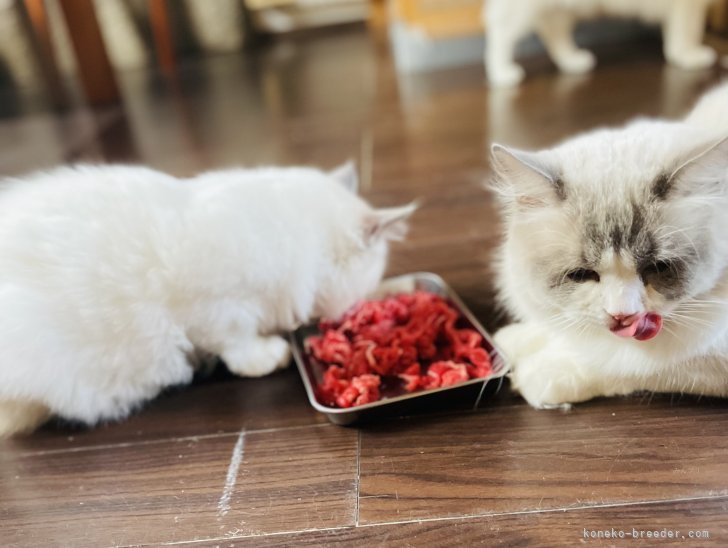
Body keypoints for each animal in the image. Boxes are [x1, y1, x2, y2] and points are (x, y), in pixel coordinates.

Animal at [486, 0, 720, 87]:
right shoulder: (687, 6)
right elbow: (688, 29)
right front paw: (689, 56)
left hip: (560, 9)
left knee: (553, 30)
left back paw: (572, 60)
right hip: (522, 9)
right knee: (500, 30)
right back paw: (501, 72)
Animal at [490, 80, 728, 406]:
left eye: (657, 268)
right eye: (581, 275)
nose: (623, 316)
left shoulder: (707, 350)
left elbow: (637, 365)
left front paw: (539, 373)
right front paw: (510, 343)